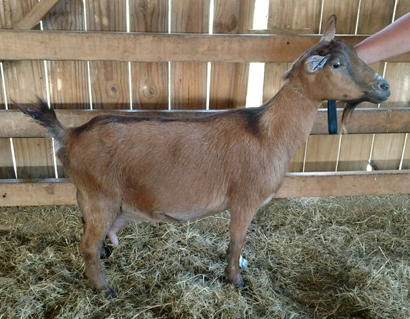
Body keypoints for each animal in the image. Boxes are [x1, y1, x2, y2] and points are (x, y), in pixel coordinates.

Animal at [19, 16, 390, 298]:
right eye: (336, 64)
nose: (384, 87)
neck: (267, 132)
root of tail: (69, 134)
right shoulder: (244, 200)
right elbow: (237, 242)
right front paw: (235, 280)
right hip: (100, 197)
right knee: (87, 246)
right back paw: (104, 289)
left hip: (88, 198)